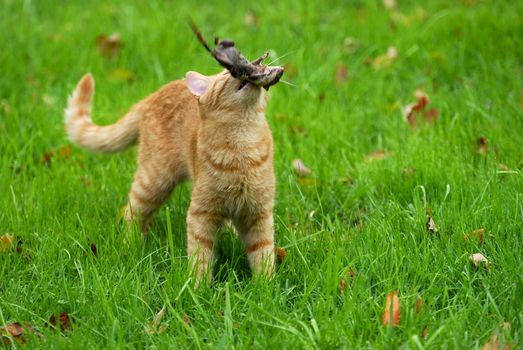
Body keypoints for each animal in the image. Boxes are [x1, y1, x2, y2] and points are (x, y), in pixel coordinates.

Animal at [65, 70, 282, 282]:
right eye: (227, 74)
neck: (242, 150)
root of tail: (152, 96)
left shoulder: (259, 214)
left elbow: (263, 254)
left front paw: (265, 286)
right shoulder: (200, 214)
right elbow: (200, 256)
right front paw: (198, 287)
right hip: (153, 182)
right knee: (131, 213)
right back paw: (130, 246)